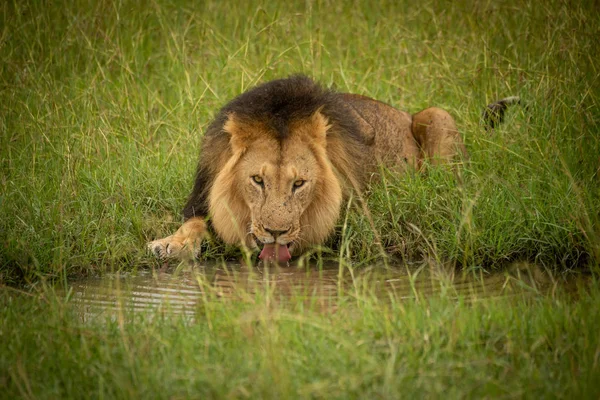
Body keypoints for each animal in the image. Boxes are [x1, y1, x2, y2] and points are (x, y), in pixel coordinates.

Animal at [150, 75, 482, 264]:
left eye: (299, 184)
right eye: (257, 180)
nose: (275, 233)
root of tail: (403, 112)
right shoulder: (202, 196)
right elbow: (193, 223)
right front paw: (172, 244)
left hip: (438, 116)